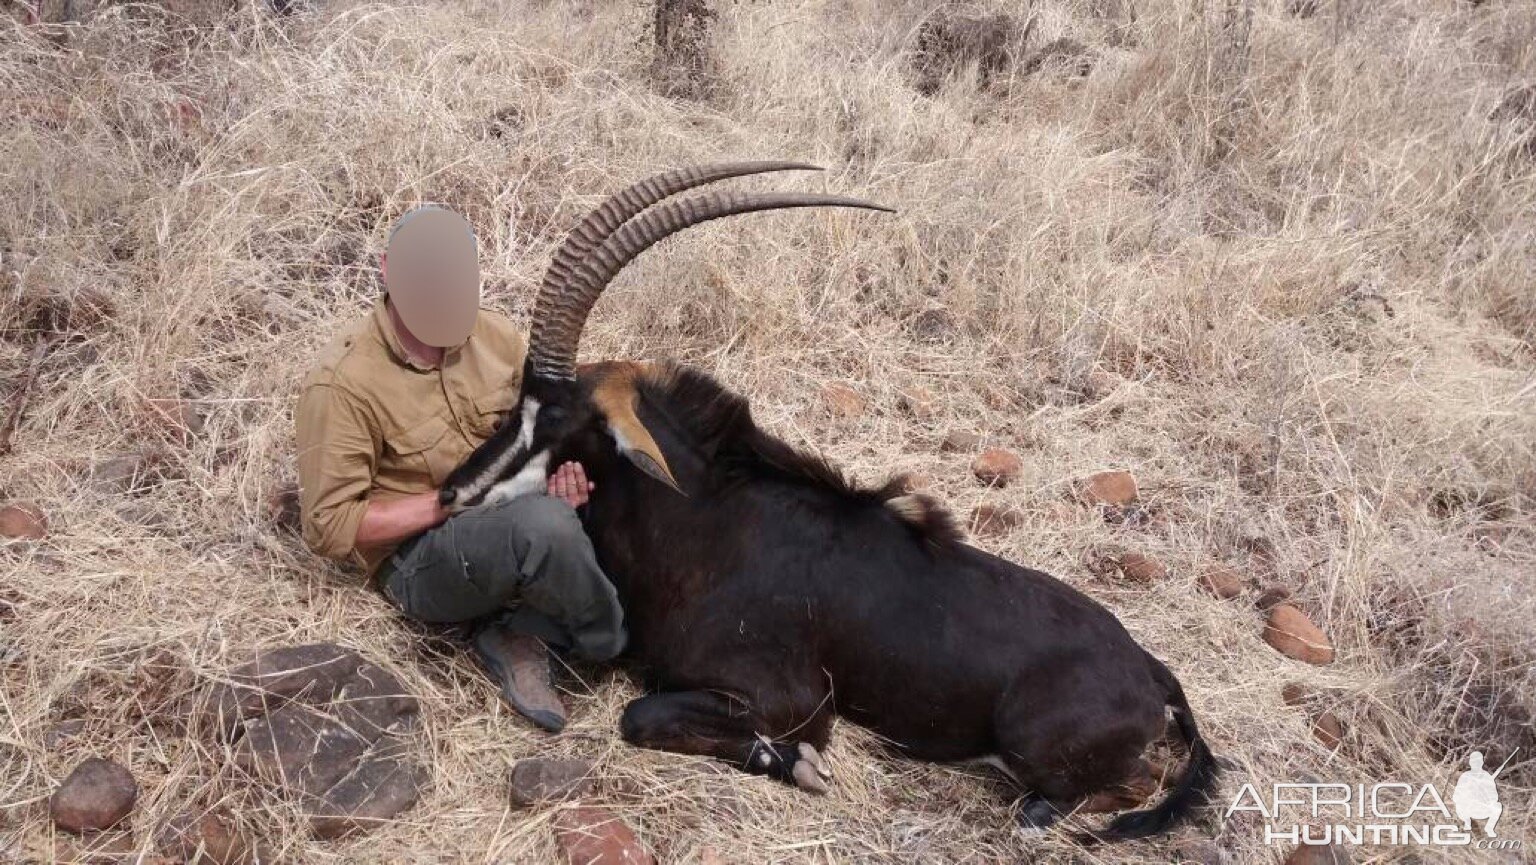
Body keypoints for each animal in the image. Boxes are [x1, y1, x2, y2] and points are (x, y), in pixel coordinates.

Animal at [439, 162, 1216, 841]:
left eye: (557, 419)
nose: (453, 492)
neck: (706, 525)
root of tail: (1152, 672)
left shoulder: (793, 703)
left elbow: (642, 716)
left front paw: (799, 765)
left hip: (1034, 744)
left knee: (1124, 784)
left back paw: (1038, 812)